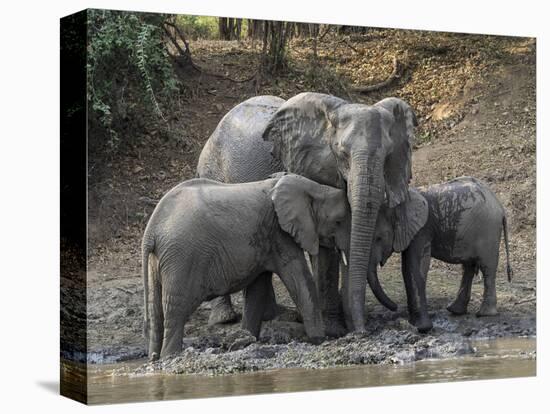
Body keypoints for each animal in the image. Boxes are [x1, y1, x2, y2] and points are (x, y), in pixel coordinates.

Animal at [140, 173, 352, 358]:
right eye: (338, 221)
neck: (313, 187)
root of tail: (151, 230)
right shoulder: (280, 234)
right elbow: (299, 281)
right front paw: (320, 340)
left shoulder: (266, 240)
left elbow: (257, 290)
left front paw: (246, 339)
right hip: (183, 258)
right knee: (176, 310)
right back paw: (170, 355)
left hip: (160, 260)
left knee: (156, 311)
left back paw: (154, 356)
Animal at [201, 91, 420, 334]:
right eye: (342, 154)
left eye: (388, 155)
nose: (363, 331)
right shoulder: (312, 167)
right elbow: (325, 246)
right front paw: (334, 329)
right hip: (211, 170)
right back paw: (225, 319)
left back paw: (275, 315)